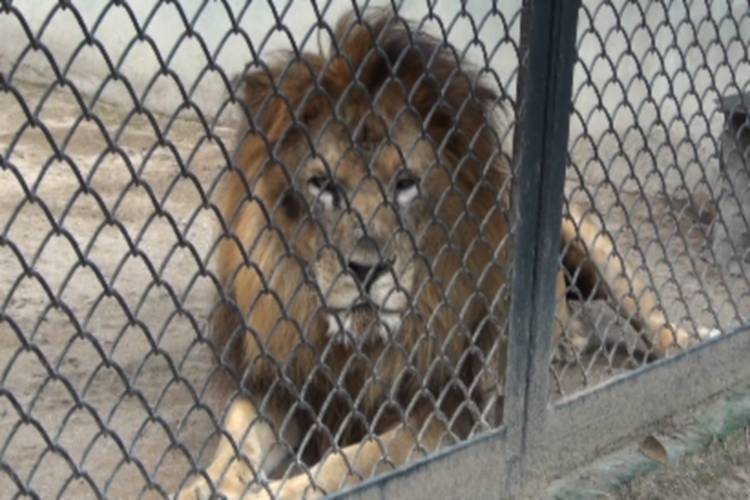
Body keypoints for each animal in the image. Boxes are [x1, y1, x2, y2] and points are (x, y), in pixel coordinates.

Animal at [179, 9, 708, 498]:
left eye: (406, 183)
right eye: (323, 185)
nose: (366, 269)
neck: (361, 345)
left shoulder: (449, 408)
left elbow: (358, 460)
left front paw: (285, 489)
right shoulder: (281, 382)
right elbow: (235, 439)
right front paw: (205, 484)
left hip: (592, 239)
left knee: (646, 307)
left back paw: (686, 338)